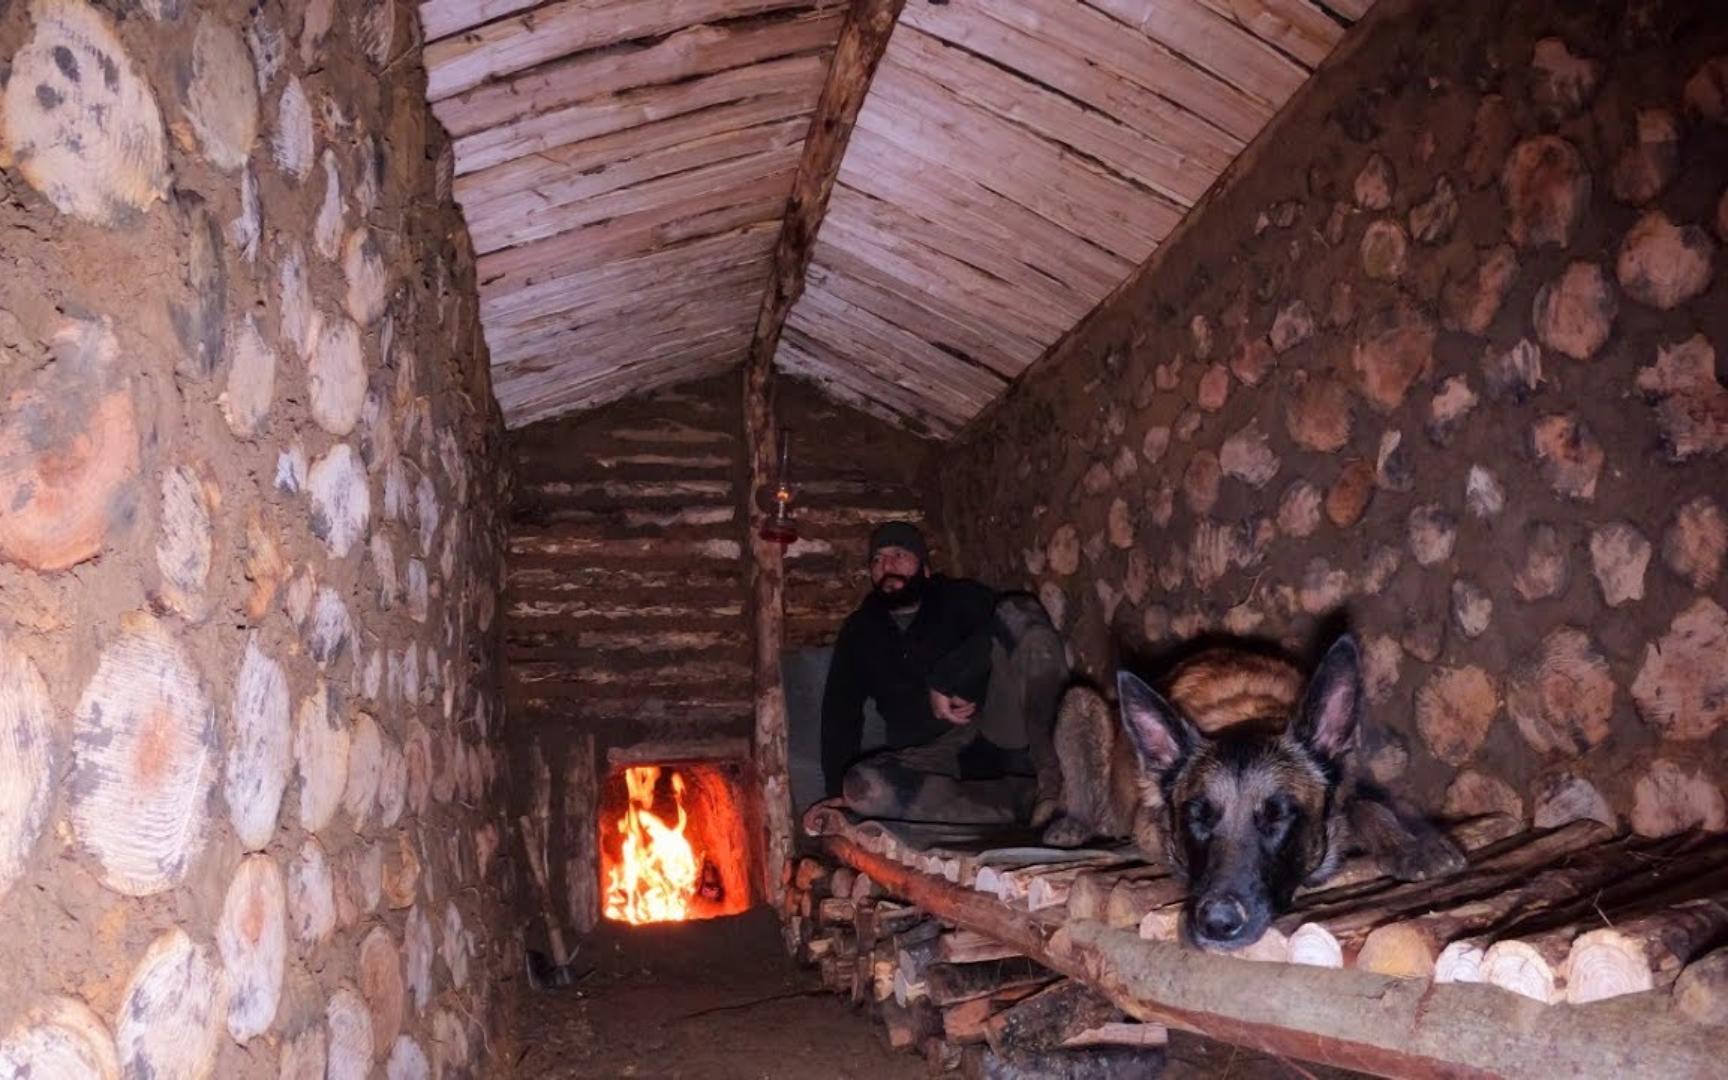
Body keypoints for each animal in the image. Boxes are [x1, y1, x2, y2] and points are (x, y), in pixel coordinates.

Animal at [1043, 635, 1465, 946]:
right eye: (1197, 817)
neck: (1247, 715)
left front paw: (1410, 844)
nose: (1216, 924)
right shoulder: (1148, 828)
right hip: (1079, 704)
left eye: (1278, 816)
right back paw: (1073, 824)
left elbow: (1367, 806)